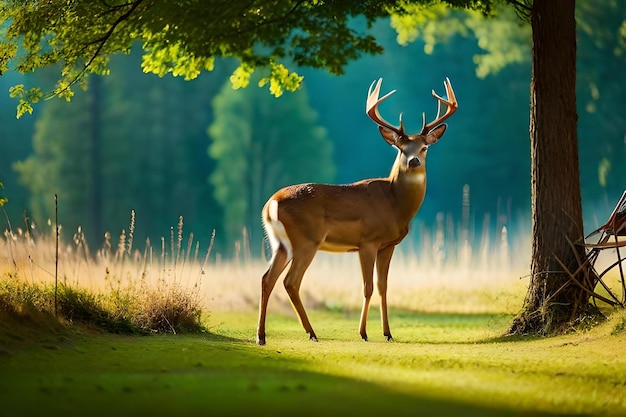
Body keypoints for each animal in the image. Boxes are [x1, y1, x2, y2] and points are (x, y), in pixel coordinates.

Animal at [256, 76, 456, 342]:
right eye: (401, 149)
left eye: (424, 148)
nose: (413, 161)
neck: (395, 203)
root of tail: (272, 203)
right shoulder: (368, 241)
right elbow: (367, 287)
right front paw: (363, 332)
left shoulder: (388, 245)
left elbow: (383, 287)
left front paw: (388, 333)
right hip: (307, 240)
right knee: (290, 281)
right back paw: (311, 332)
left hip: (280, 243)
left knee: (267, 278)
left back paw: (261, 336)